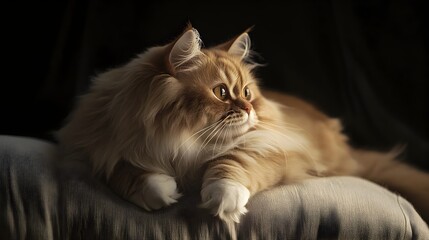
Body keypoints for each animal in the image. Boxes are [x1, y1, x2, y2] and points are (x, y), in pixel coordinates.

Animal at [58, 24, 428, 223]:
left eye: (247, 92)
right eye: (222, 92)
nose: (249, 107)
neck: (181, 141)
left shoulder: (274, 147)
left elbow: (233, 163)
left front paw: (223, 198)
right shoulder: (102, 147)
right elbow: (130, 173)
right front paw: (163, 191)